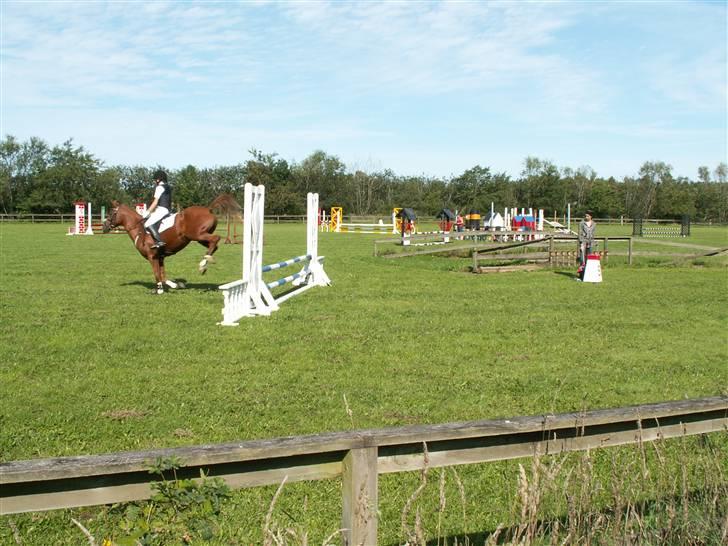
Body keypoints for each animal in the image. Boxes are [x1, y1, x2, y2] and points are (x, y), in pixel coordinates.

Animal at [102, 198, 232, 294]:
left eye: (111, 213)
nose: (104, 227)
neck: (138, 229)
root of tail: (208, 209)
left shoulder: (152, 257)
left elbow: (156, 273)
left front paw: (159, 290)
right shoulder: (160, 257)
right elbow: (162, 274)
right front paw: (175, 284)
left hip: (197, 235)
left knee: (216, 239)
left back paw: (202, 264)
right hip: (199, 238)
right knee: (214, 245)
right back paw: (205, 264)